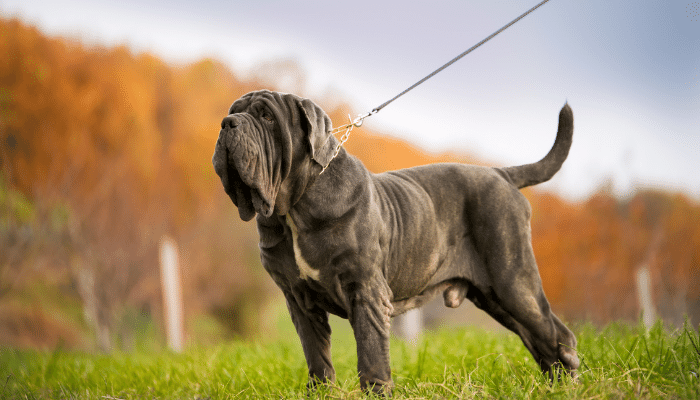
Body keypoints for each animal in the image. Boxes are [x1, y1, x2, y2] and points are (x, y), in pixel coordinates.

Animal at [212, 90, 580, 394]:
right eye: (234, 111)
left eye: (267, 117)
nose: (227, 123)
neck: (294, 209)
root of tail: (501, 173)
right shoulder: (299, 301)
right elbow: (318, 359)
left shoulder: (365, 290)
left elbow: (372, 353)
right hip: (495, 296)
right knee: (540, 341)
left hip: (513, 282)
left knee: (558, 336)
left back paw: (570, 384)